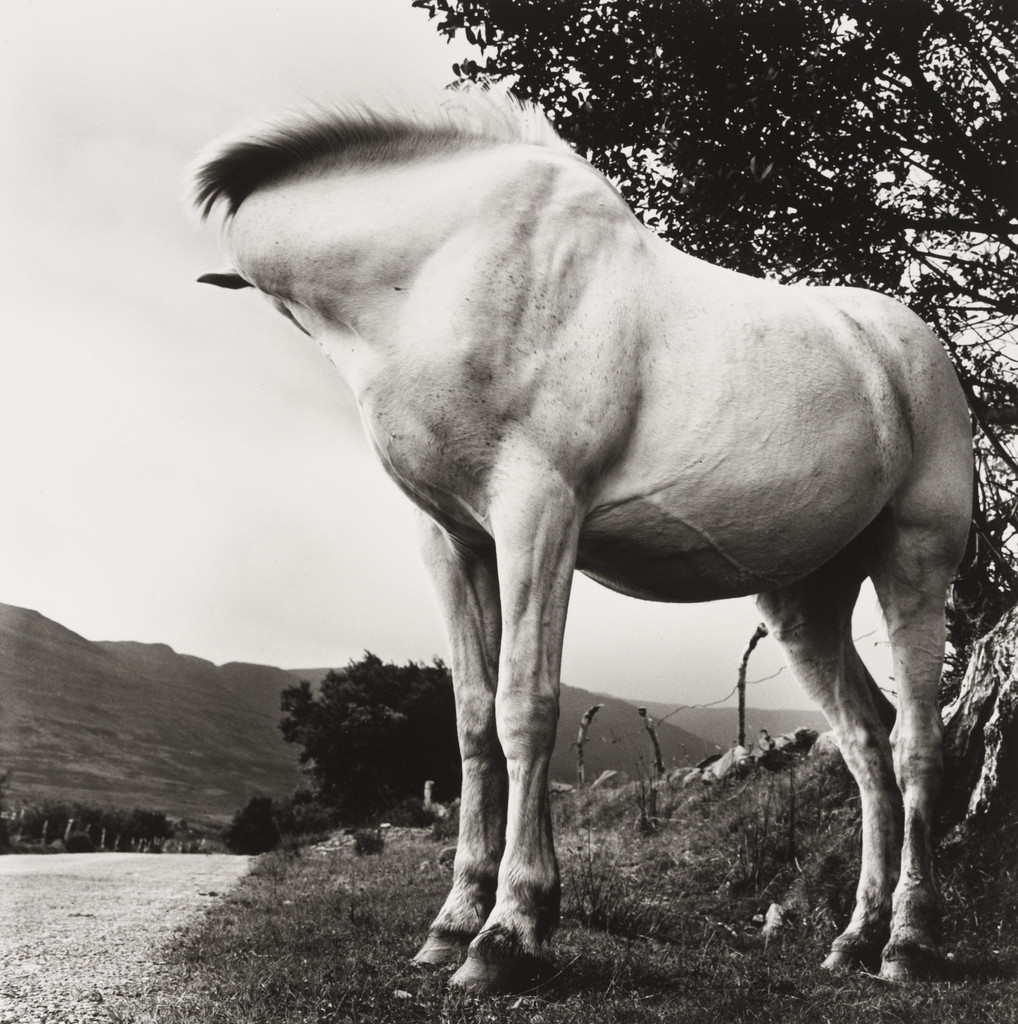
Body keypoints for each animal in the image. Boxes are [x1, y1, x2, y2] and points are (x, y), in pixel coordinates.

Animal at [192, 87, 973, 993]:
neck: (441, 263)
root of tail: (906, 350)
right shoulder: (453, 540)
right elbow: (471, 722)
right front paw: (452, 924)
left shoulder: (538, 514)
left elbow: (525, 710)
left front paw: (510, 930)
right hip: (804, 599)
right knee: (866, 742)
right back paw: (854, 938)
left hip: (914, 561)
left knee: (917, 743)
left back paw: (909, 941)